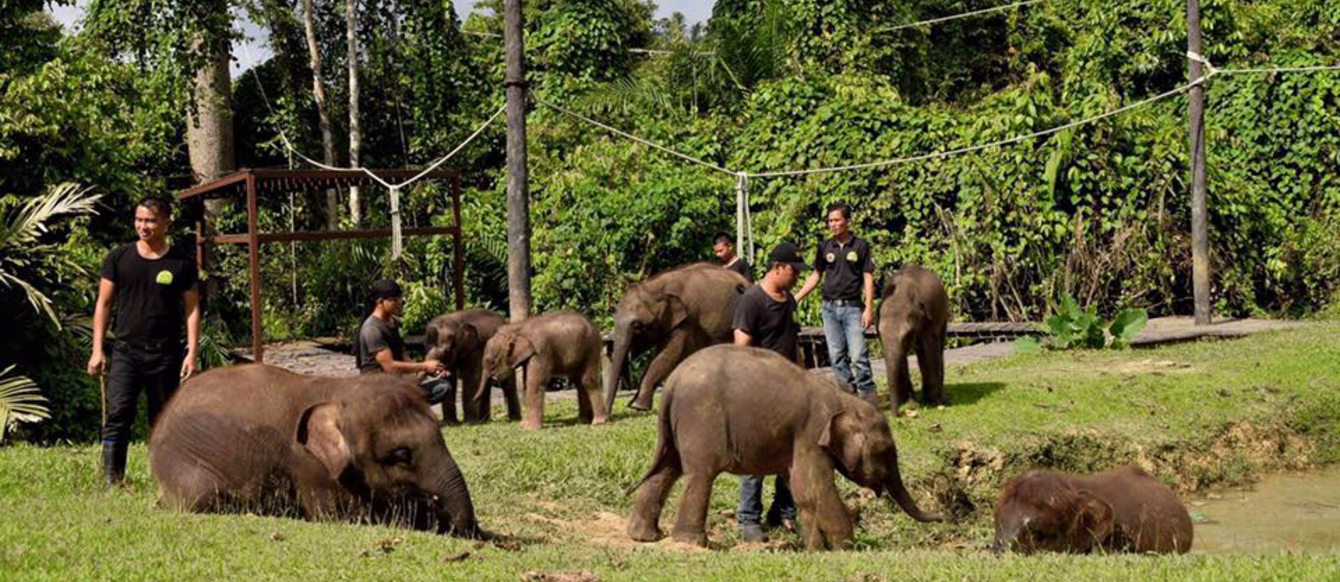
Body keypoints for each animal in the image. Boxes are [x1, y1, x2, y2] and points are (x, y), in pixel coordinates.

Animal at [149, 364, 490, 536]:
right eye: (401, 455)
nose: (476, 532)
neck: (339, 391)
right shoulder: (307, 465)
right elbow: (342, 517)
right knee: (200, 496)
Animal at [605, 261, 750, 410]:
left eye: (637, 325)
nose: (606, 414)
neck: (655, 288)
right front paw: (634, 404)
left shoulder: (687, 319)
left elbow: (670, 354)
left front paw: (638, 406)